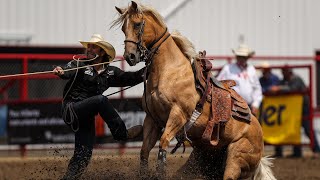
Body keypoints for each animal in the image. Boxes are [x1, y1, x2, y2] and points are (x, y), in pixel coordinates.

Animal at [112, 1, 276, 179]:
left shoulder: (178, 114)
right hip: (200, 159)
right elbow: (144, 151)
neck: (169, 71)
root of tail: (259, 134)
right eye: (123, 28)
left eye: (137, 24)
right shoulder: (152, 119)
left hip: (236, 158)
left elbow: (163, 144)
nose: (130, 57)